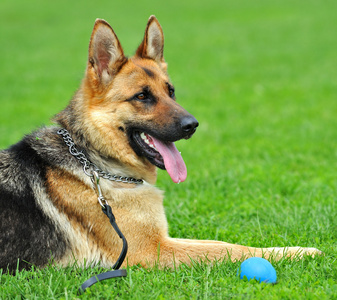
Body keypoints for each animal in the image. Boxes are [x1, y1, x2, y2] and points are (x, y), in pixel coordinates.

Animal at [0, 16, 320, 272]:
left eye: (171, 91)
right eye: (142, 96)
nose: (192, 125)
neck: (94, 162)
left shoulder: (161, 240)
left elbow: (216, 241)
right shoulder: (150, 250)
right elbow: (227, 249)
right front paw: (295, 253)